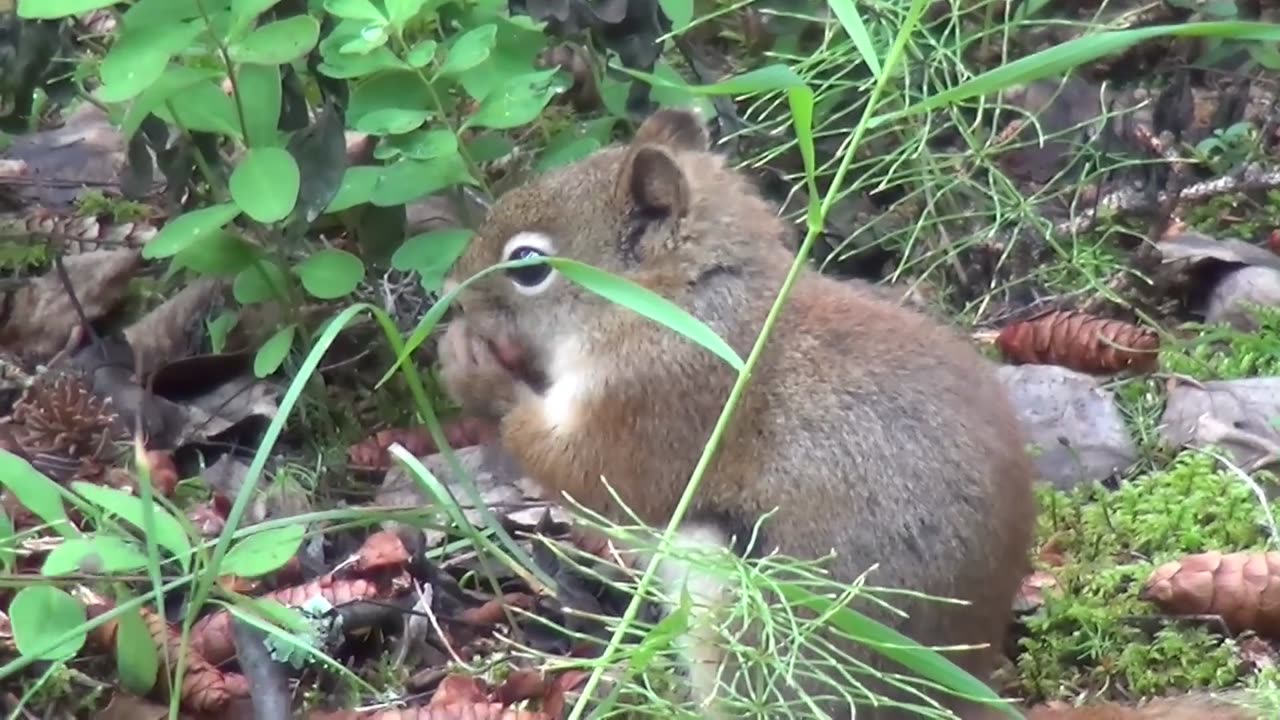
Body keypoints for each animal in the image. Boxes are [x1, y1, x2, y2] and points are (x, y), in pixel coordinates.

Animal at [435, 107, 1264, 717]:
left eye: (530, 264)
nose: (449, 292)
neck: (691, 301)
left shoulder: (668, 398)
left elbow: (594, 475)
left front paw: (471, 368)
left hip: (747, 627)